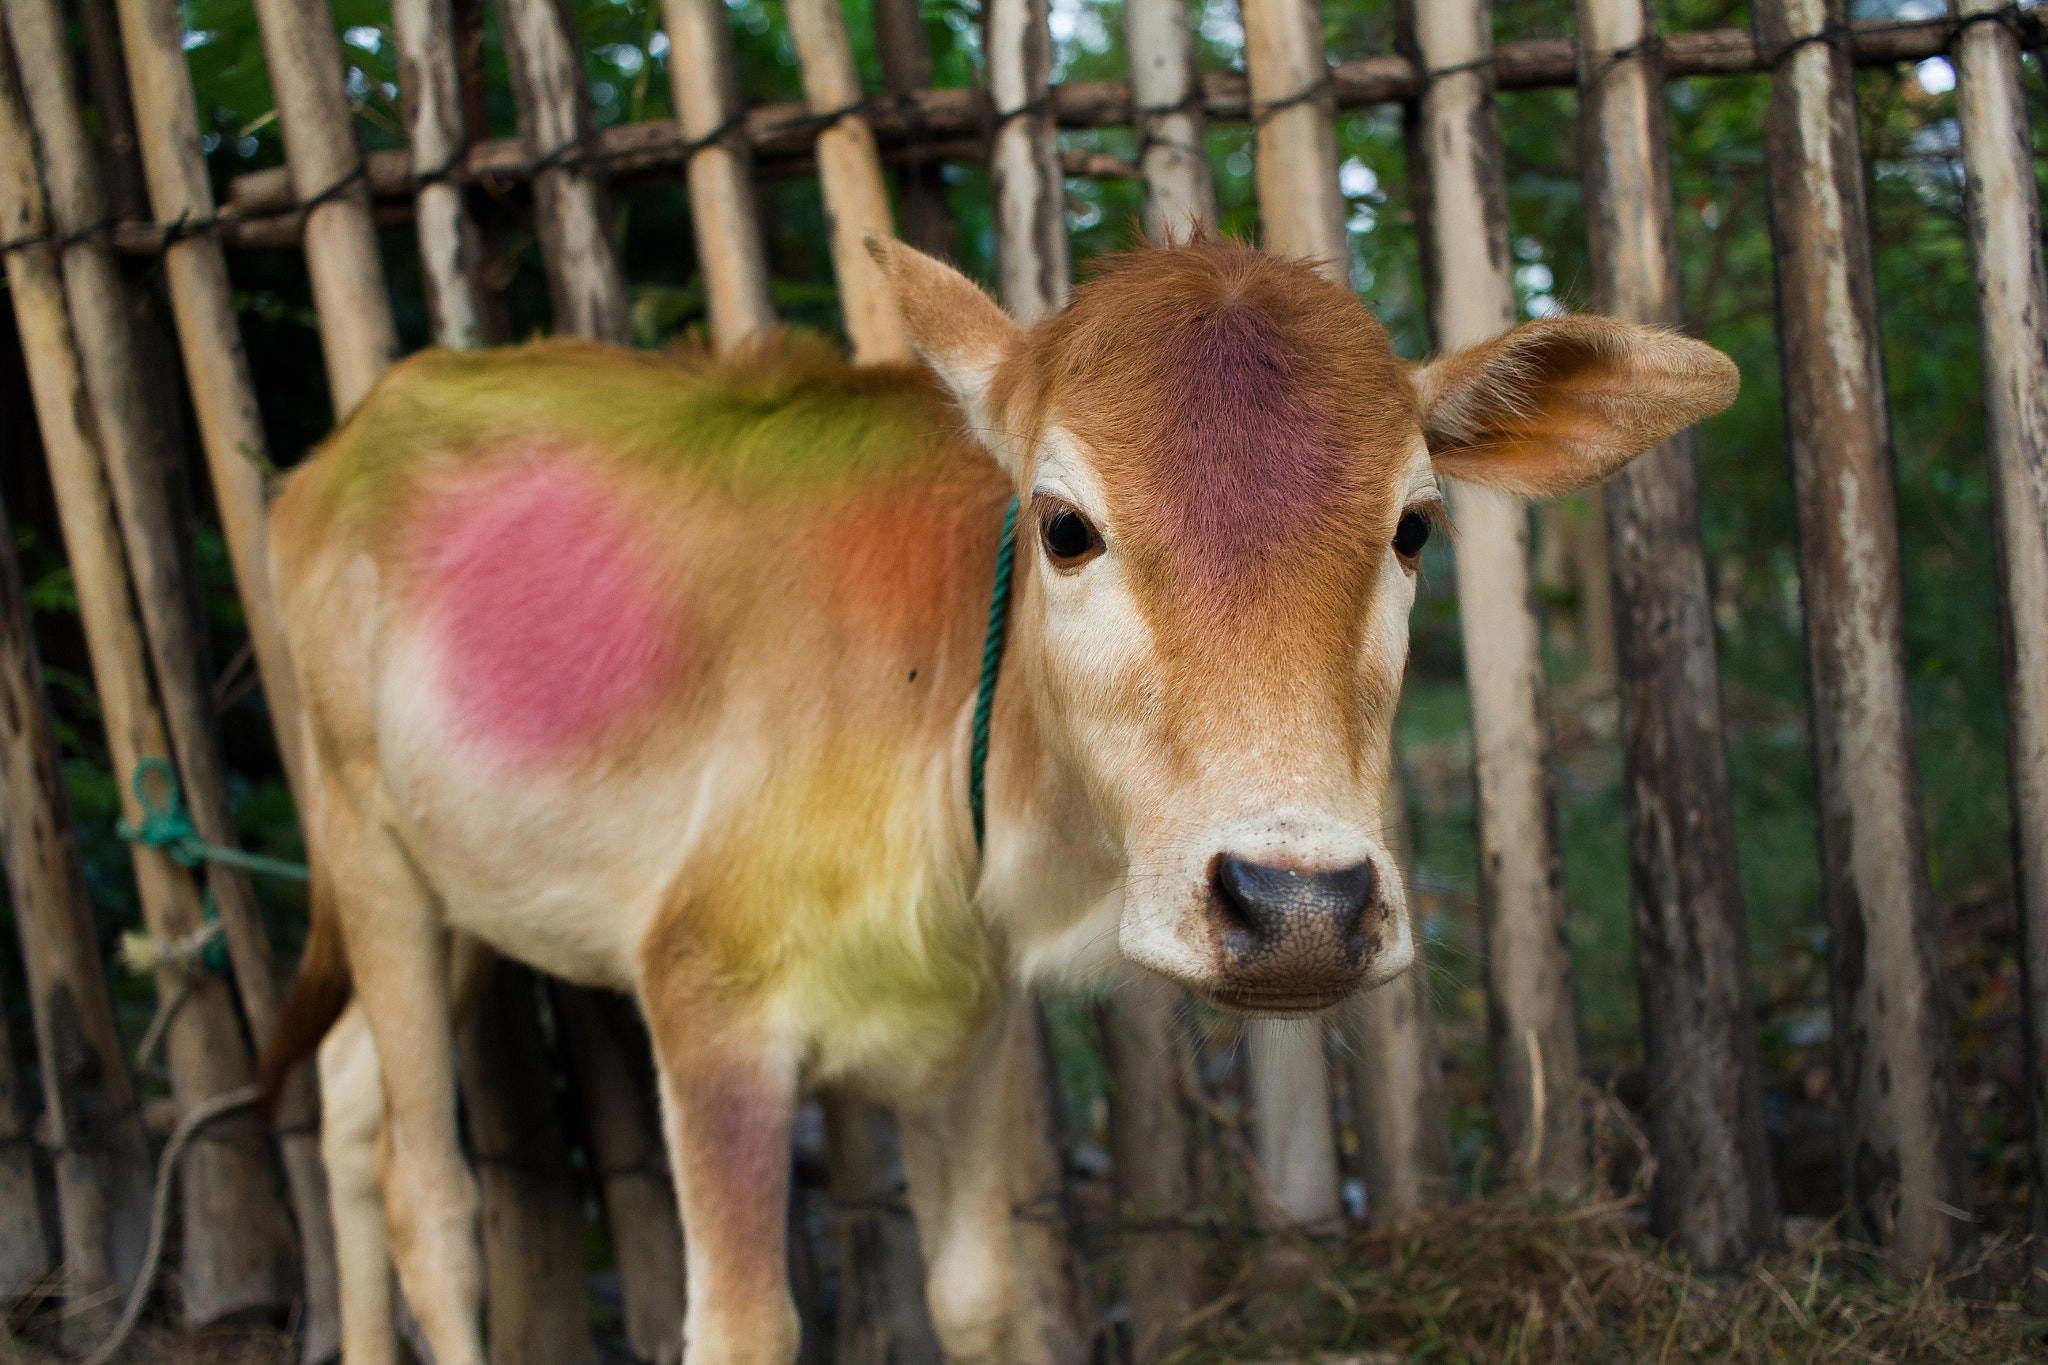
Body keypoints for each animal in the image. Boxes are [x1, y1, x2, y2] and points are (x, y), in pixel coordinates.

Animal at [256, 235, 1737, 1365]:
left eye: (1414, 527)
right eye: (1065, 527)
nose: (1297, 907)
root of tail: (337, 447)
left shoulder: (961, 1028)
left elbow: (974, 1297)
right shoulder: (707, 1002)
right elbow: (744, 1326)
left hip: (460, 891)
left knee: (343, 1100)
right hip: (360, 837)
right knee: (427, 1196)